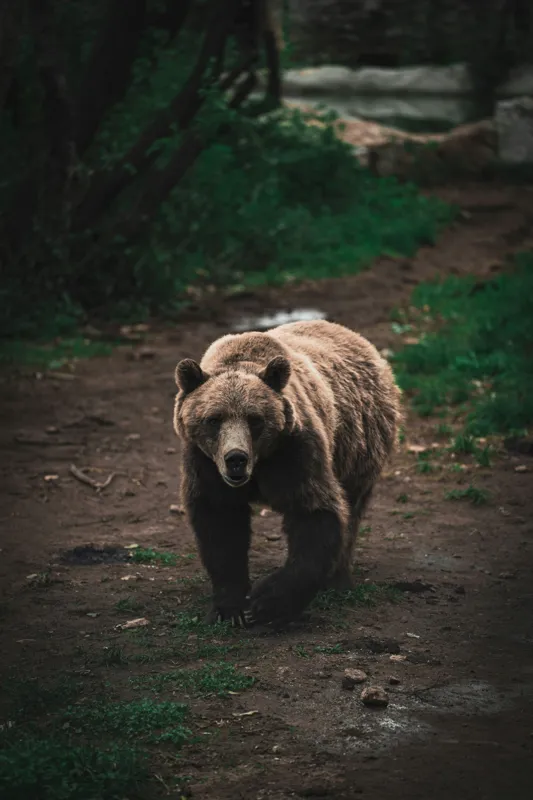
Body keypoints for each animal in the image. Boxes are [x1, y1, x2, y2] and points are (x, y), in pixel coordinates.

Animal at [173, 320, 401, 628]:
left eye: (255, 419)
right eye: (214, 419)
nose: (236, 459)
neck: (260, 464)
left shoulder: (296, 452)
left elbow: (315, 513)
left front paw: (266, 602)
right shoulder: (205, 463)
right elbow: (221, 527)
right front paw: (230, 608)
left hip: (359, 444)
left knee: (351, 509)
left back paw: (337, 579)